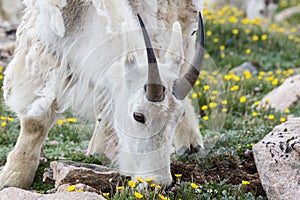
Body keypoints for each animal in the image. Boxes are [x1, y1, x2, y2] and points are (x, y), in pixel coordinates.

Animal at [0, 0, 204, 188]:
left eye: (179, 116)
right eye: (138, 116)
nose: (158, 182)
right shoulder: (45, 40)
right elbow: (35, 121)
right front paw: (13, 177)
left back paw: (190, 142)